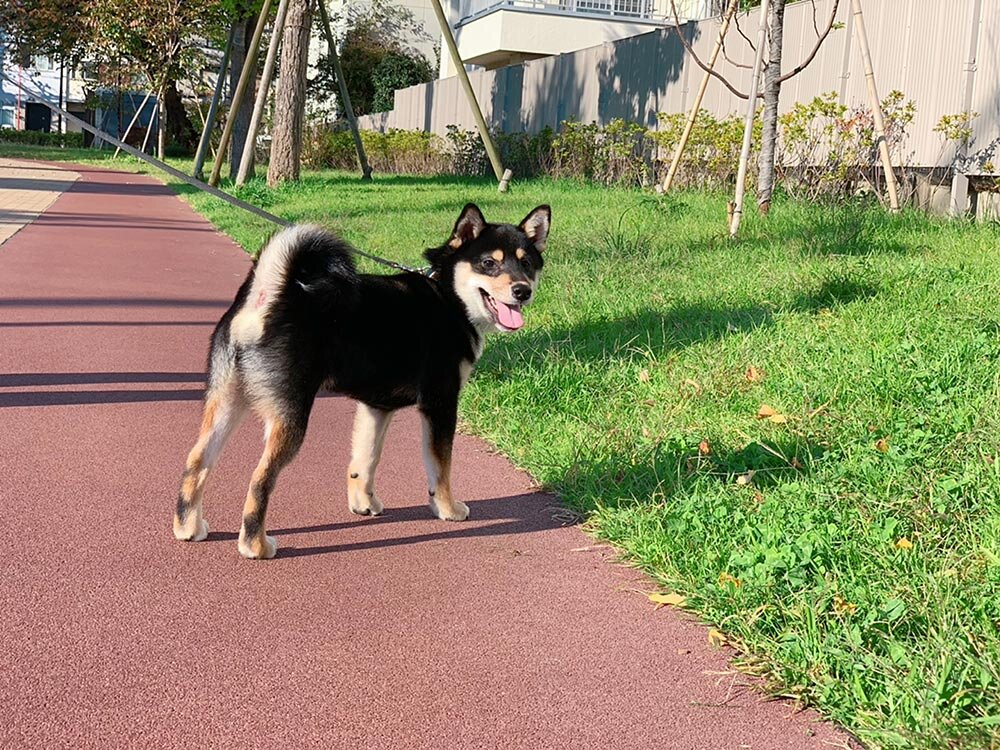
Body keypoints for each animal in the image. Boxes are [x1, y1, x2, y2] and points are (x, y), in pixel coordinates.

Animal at [172, 203, 548, 560]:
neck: (447, 295)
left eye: (527, 263)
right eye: (488, 263)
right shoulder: (440, 404)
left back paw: (188, 527)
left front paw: (363, 503)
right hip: (289, 417)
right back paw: (255, 545)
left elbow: (365, 459)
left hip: (226, 402)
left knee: (196, 462)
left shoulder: (376, 406)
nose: (522, 291)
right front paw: (448, 508)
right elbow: (441, 468)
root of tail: (266, 298)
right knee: (259, 480)